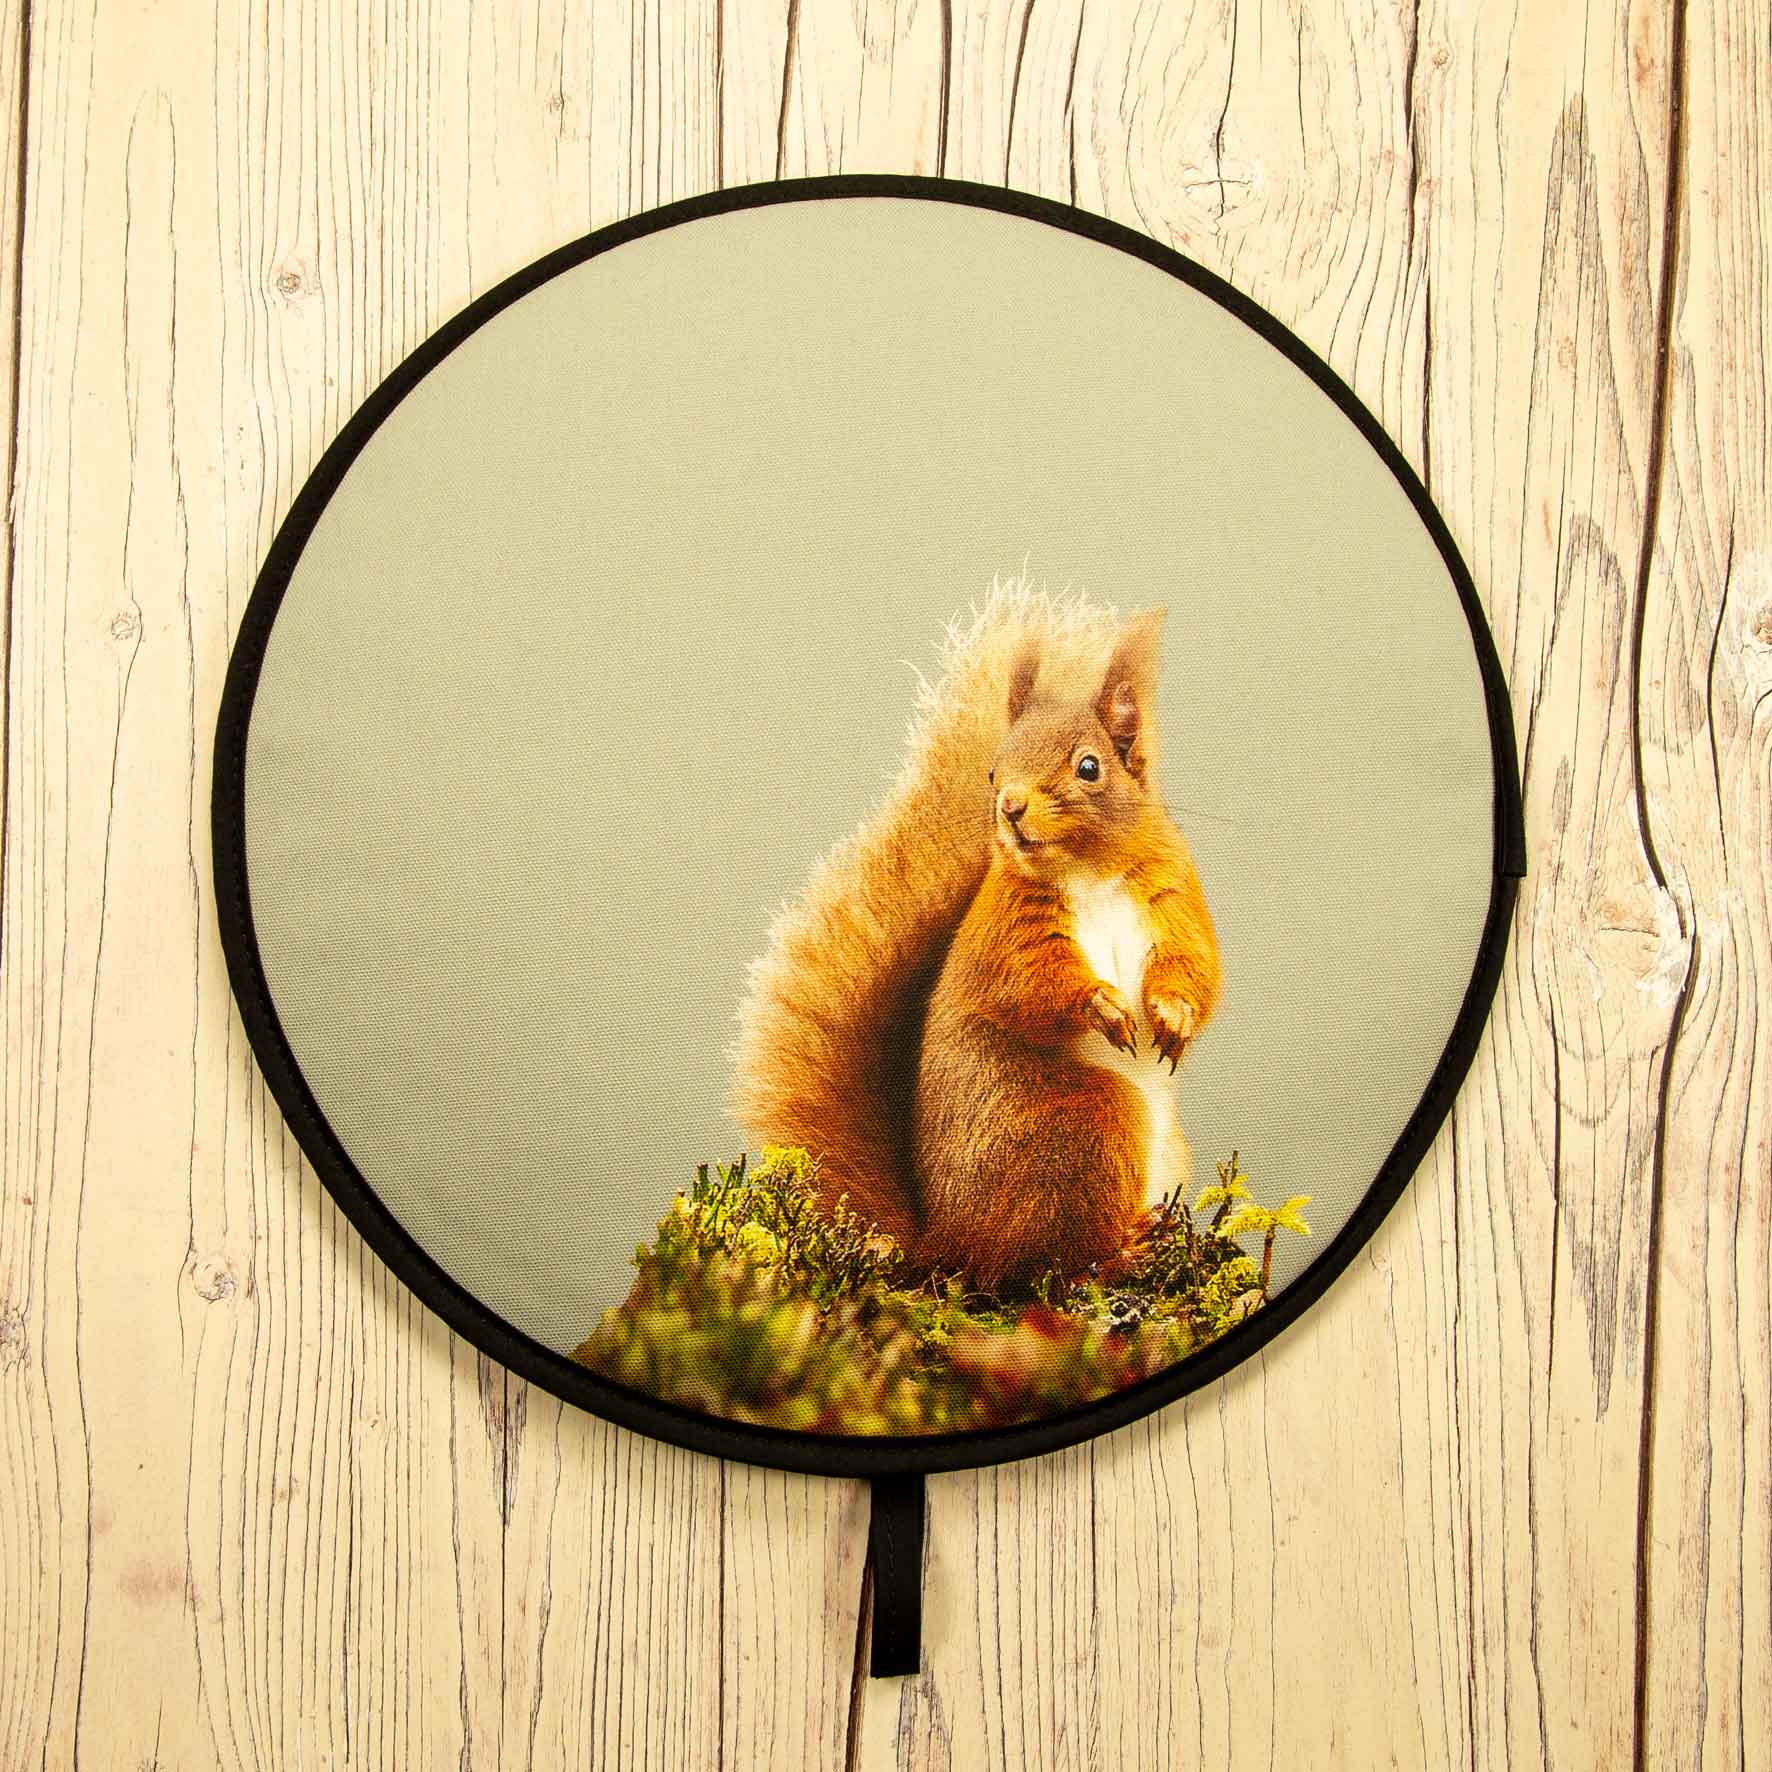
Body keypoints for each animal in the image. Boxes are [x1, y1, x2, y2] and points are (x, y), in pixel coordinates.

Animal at [732, 577, 1221, 1295]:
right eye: (993, 770)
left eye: (1090, 767)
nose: (1010, 807)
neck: (1089, 870)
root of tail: (947, 1243)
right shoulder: (1009, 930)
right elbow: (1032, 985)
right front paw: (1101, 1005)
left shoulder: (1174, 897)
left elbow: (1197, 965)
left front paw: (1175, 1015)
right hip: (1088, 1127)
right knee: (1050, 1264)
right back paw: (1122, 1253)